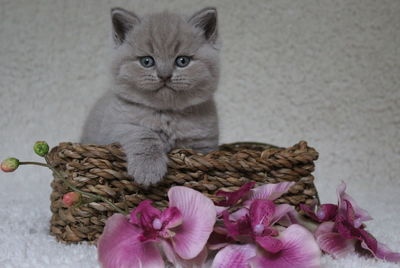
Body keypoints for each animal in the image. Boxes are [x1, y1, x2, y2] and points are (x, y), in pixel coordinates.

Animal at [80, 7, 220, 185]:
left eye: (182, 61)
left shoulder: (204, 146)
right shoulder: (112, 128)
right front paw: (148, 170)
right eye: (147, 61)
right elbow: (143, 134)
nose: (164, 75)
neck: (167, 114)